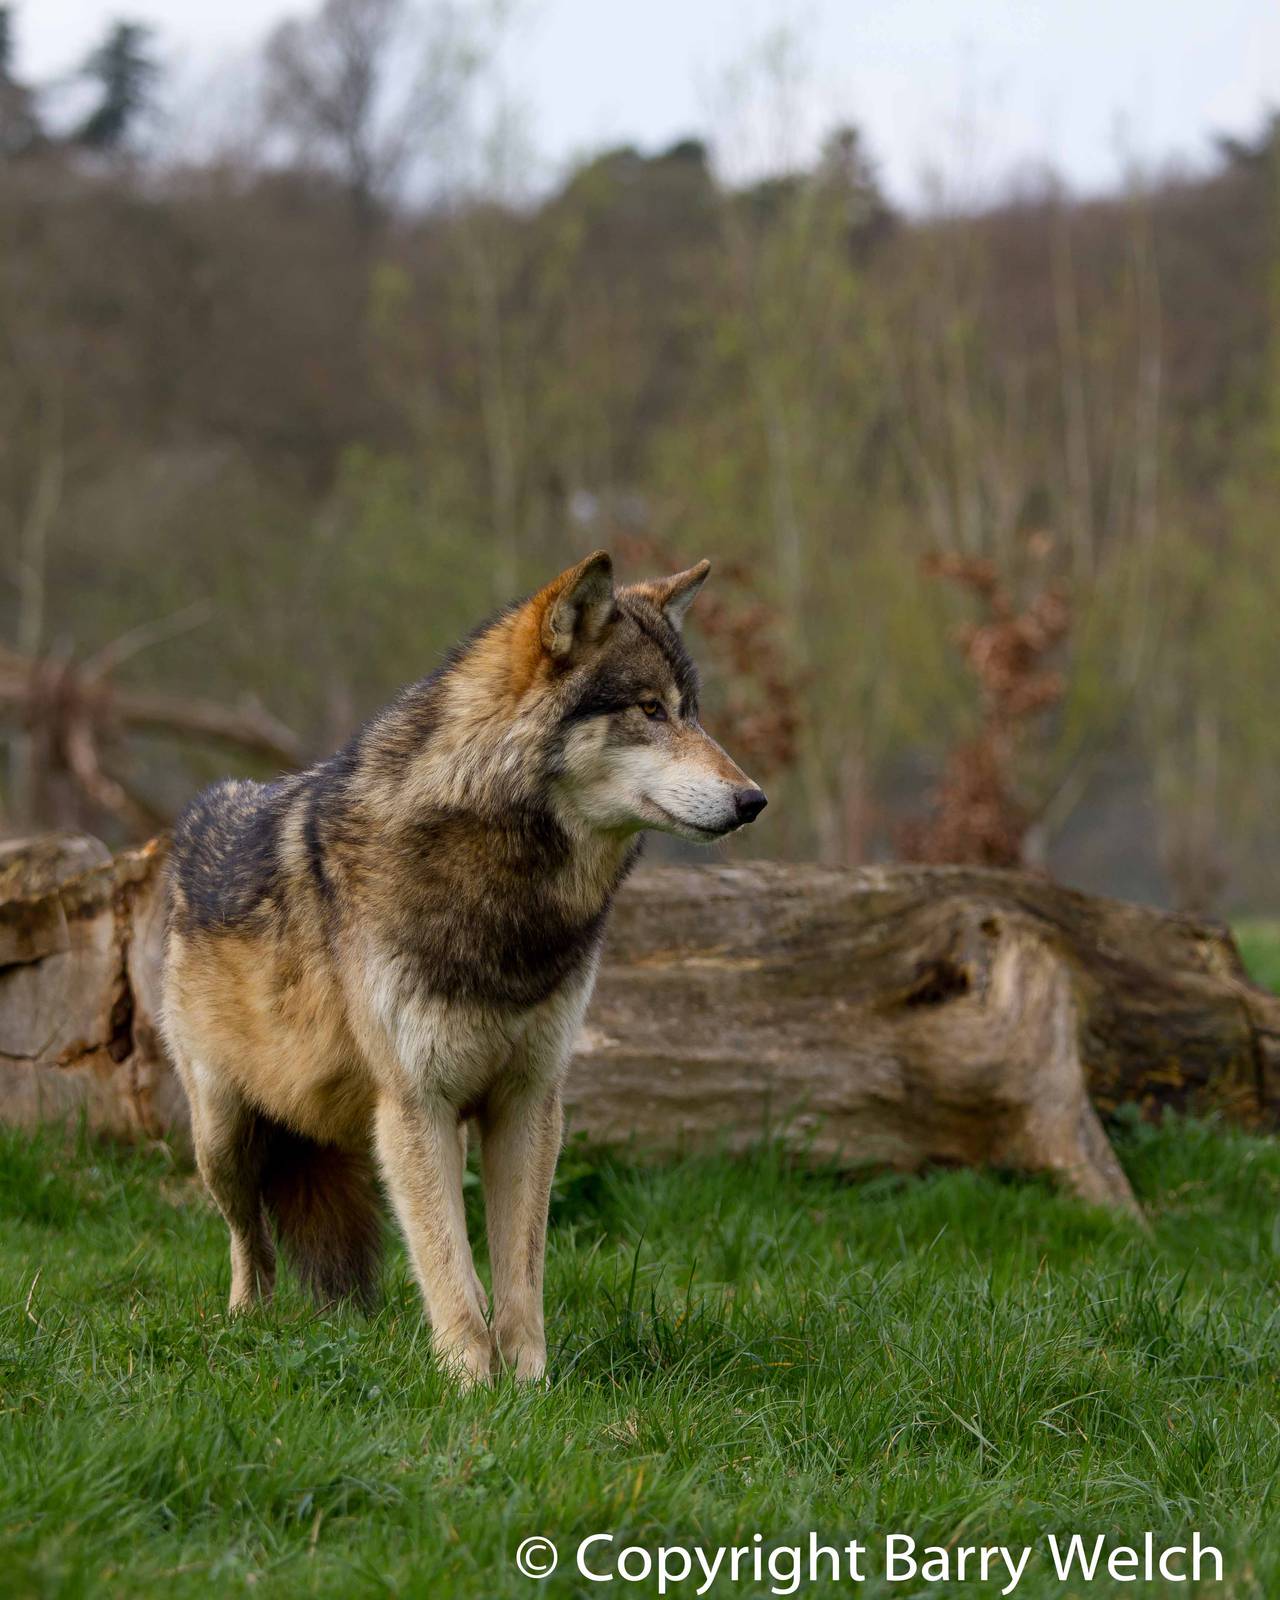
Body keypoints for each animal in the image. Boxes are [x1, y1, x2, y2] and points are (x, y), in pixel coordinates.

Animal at [161, 551, 767, 1386]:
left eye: (693, 712)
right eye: (649, 709)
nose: (754, 800)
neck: (507, 889)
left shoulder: (529, 1101)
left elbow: (518, 1273)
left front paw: (532, 1388)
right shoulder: (420, 1103)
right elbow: (449, 1267)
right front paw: (473, 1387)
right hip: (225, 1136)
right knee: (249, 1241)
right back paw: (248, 1321)